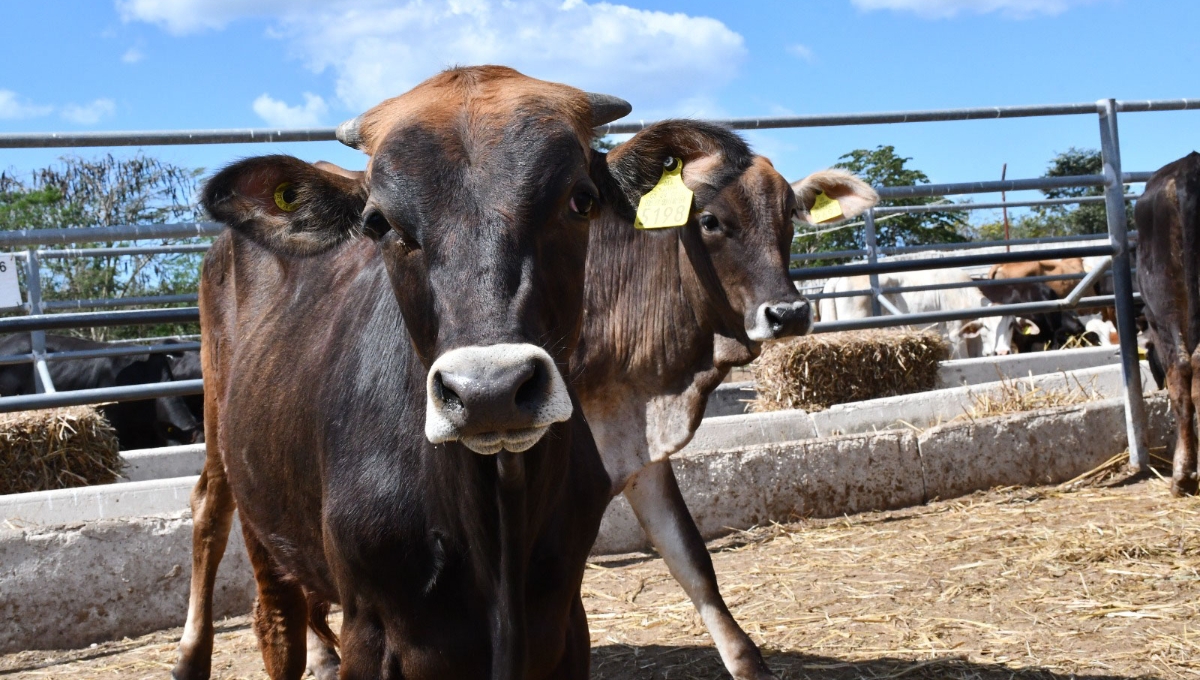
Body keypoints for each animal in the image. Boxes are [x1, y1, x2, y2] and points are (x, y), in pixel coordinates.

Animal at [170, 67, 758, 680]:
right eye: (378, 222)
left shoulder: (566, 623)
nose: (489, 392)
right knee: (234, 549)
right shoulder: (370, 630)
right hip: (231, 452)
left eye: (581, 200)